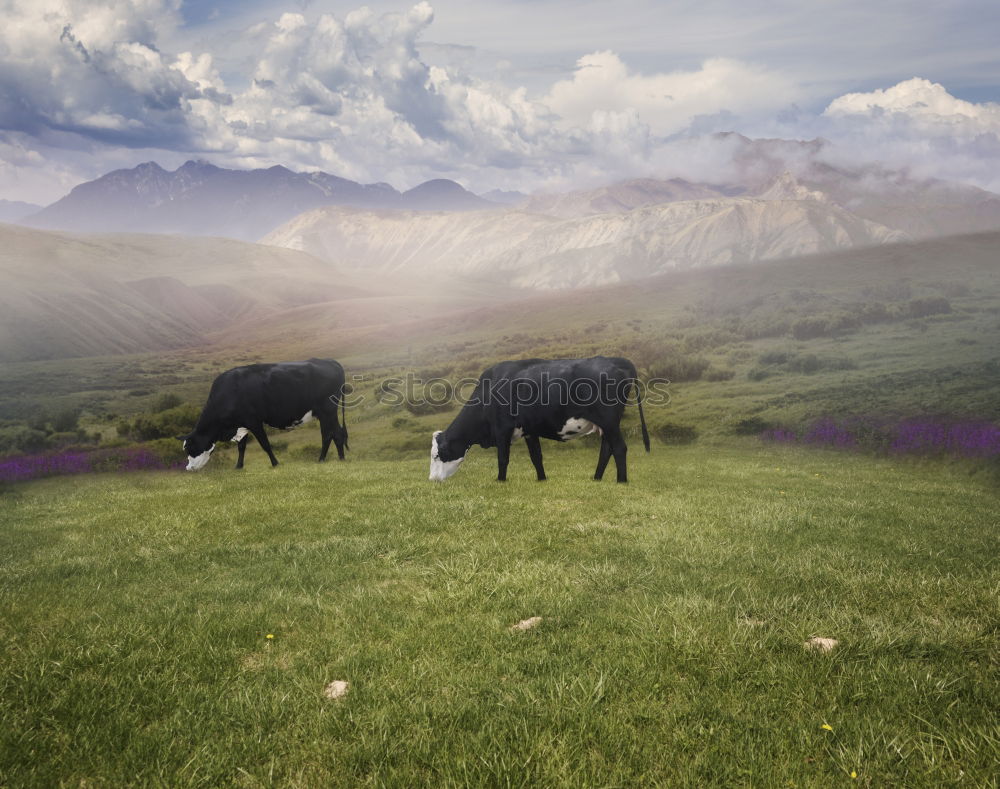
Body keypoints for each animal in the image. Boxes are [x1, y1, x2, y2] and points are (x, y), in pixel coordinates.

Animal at [182, 358, 350, 468]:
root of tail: (329, 361)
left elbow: (265, 444)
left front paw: (275, 463)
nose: (188, 468)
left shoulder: (253, 421)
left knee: (333, 434)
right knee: (332, 434)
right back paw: (333, 459)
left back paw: (330, 459)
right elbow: (241, 447)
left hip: (328, 410)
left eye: (191, 448)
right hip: (324, 413)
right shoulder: (242, 424)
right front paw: (238, 466)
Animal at [428, 356, 648, 480]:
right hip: (606, 424)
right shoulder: (529, 430)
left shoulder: (502, 429)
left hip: (609, 421)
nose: (432, 479)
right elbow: (536, 457)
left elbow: (502, 458)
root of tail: (616, 359)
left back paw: (621, 481)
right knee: (606, 449)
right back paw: (596, 479)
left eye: (436, 455)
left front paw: (500, 480)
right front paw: (542, 479)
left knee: (619, 448)